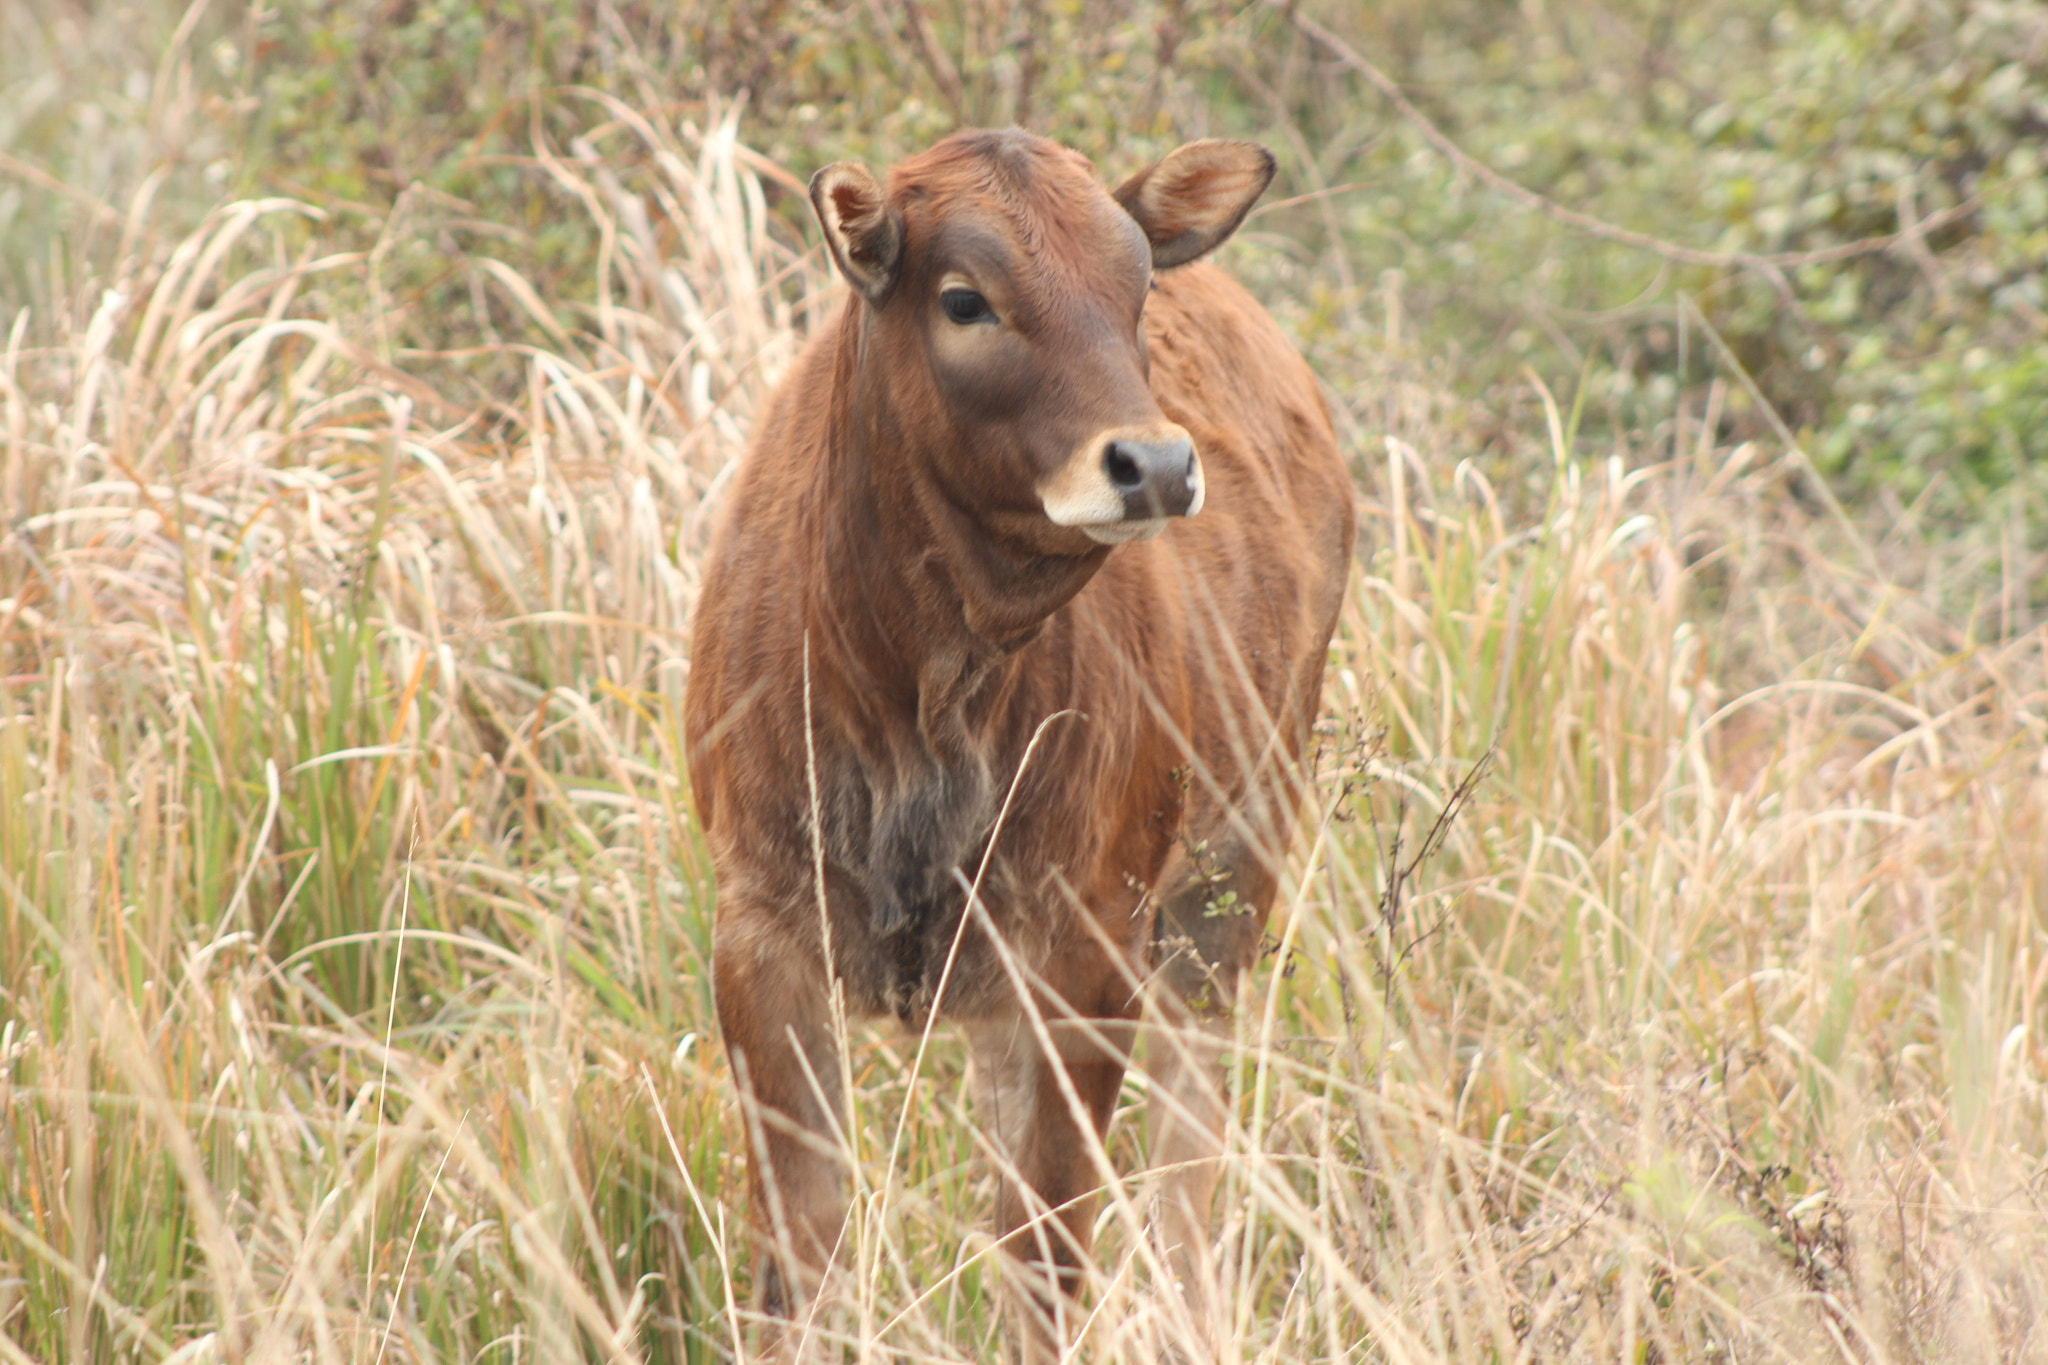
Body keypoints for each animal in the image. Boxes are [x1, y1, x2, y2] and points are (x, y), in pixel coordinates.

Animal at [688, 125, 1351, 1358]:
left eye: (1137, 290)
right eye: (964, 298)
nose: (1154, 466)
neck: (912, 706)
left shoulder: (1088, 950)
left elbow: (1045, 1259)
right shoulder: (760, 932)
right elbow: (800, 1254)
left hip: (1229, 880)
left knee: (1186, 1154)